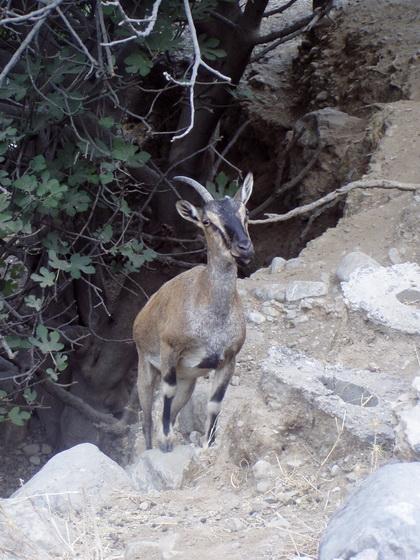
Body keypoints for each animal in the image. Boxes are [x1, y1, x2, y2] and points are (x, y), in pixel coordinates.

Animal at [133, 173, 254, 452]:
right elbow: (167, 391)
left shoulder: (228, 359)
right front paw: (166, 441)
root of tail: (141, 315)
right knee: (147, 417)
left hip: (188, 380)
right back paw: (152, 445)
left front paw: (208, 445)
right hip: (145, 366)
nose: (244, 247)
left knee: (176, 409)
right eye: (207, 221)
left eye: (246, 212)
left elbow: (215, 403)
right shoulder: (169, 349)